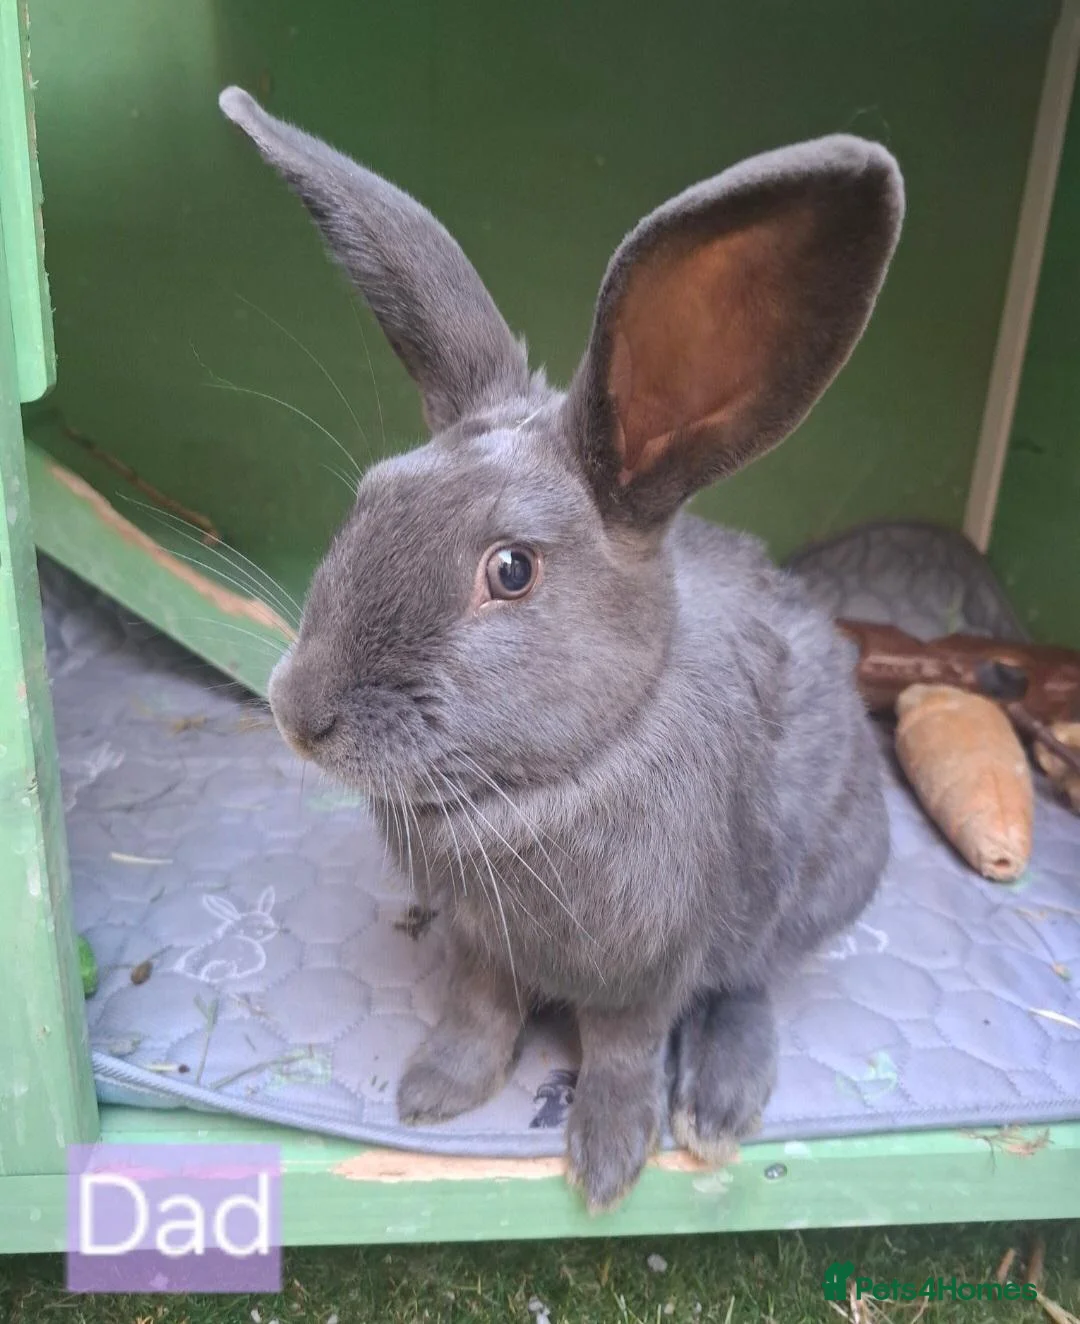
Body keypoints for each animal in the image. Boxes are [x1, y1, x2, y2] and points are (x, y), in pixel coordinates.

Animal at [219, 85, 902, 1210]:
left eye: (511, 571)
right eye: (371, 497)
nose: (297, 711)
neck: (539, 784)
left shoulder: (650, 966)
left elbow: (623, 1050)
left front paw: (608, 1164)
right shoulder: (480, 945)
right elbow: (480, 1011)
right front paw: (433, 1095)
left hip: (818, 880)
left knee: (753, 979)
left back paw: (717, 1109)